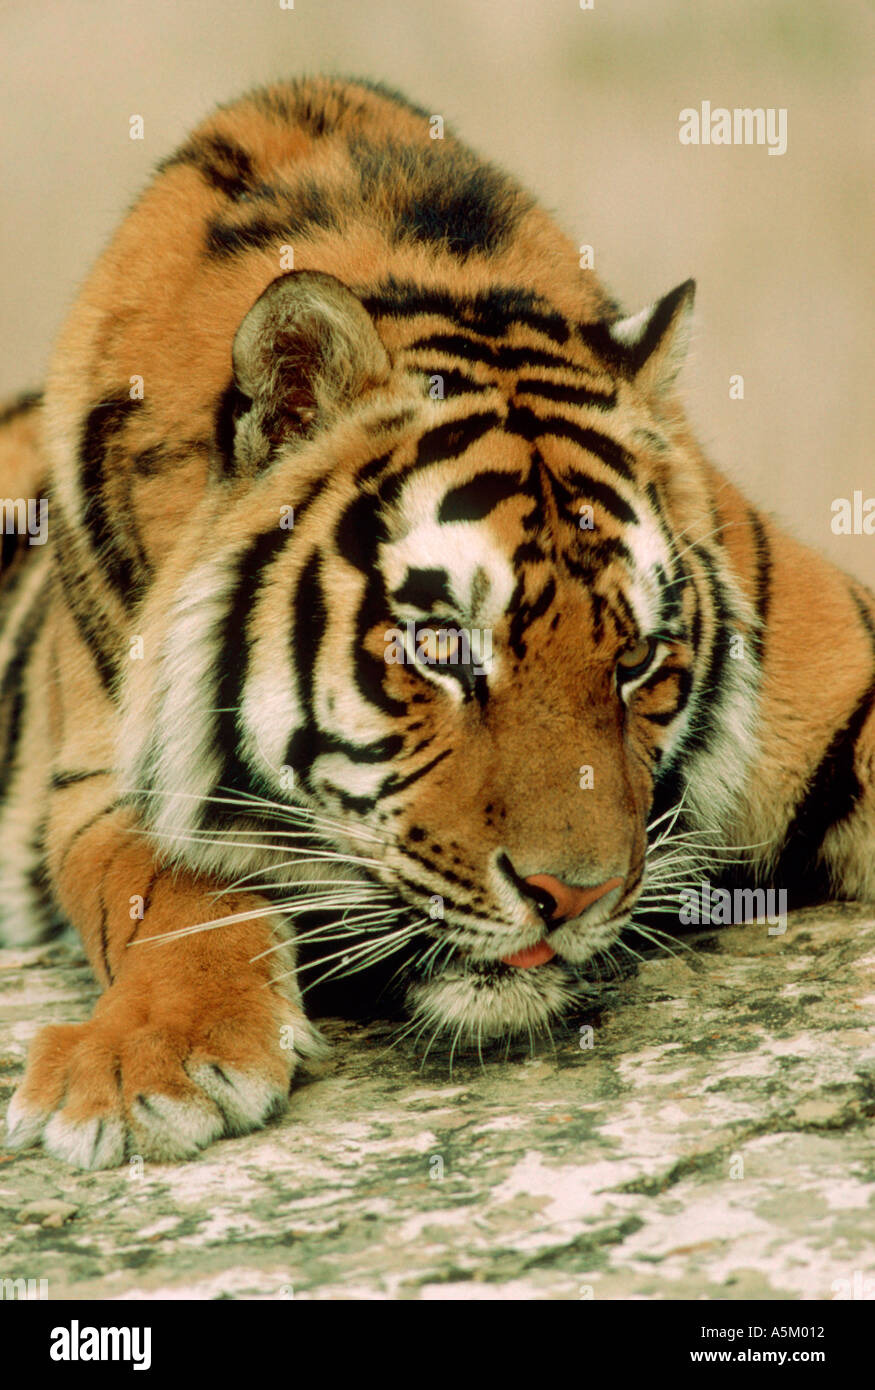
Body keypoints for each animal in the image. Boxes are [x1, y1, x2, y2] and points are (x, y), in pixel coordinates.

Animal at [1, 76, 873, 1171]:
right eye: (444, 648)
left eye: (635, 659)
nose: (573, 897)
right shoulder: (94, 782)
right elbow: (165, 889)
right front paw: (147, 1063)